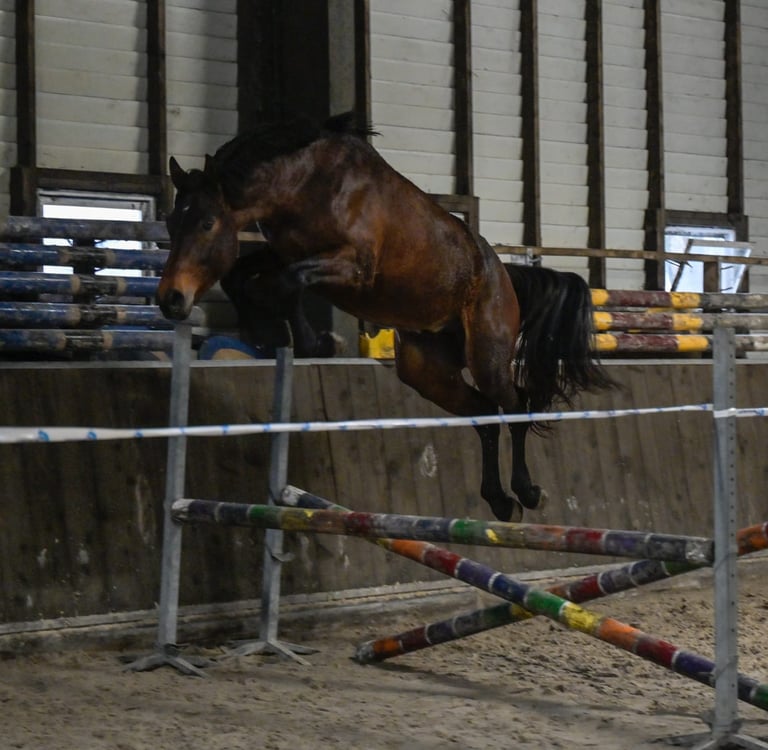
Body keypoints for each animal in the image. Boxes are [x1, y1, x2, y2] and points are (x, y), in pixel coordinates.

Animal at [157, 111, 614, 522]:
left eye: (207, 222)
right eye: (171, 222)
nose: (170, 300)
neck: (309, 184)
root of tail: (504, 275)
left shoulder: (352, 266)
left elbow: (287, 281)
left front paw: (319, 343)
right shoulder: (285, 251)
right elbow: (242, 277)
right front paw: (268, 335)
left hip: (487, 357)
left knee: (515, 407)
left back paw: (528, 492)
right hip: (426, 371)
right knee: (484, 416)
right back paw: (500, 502)